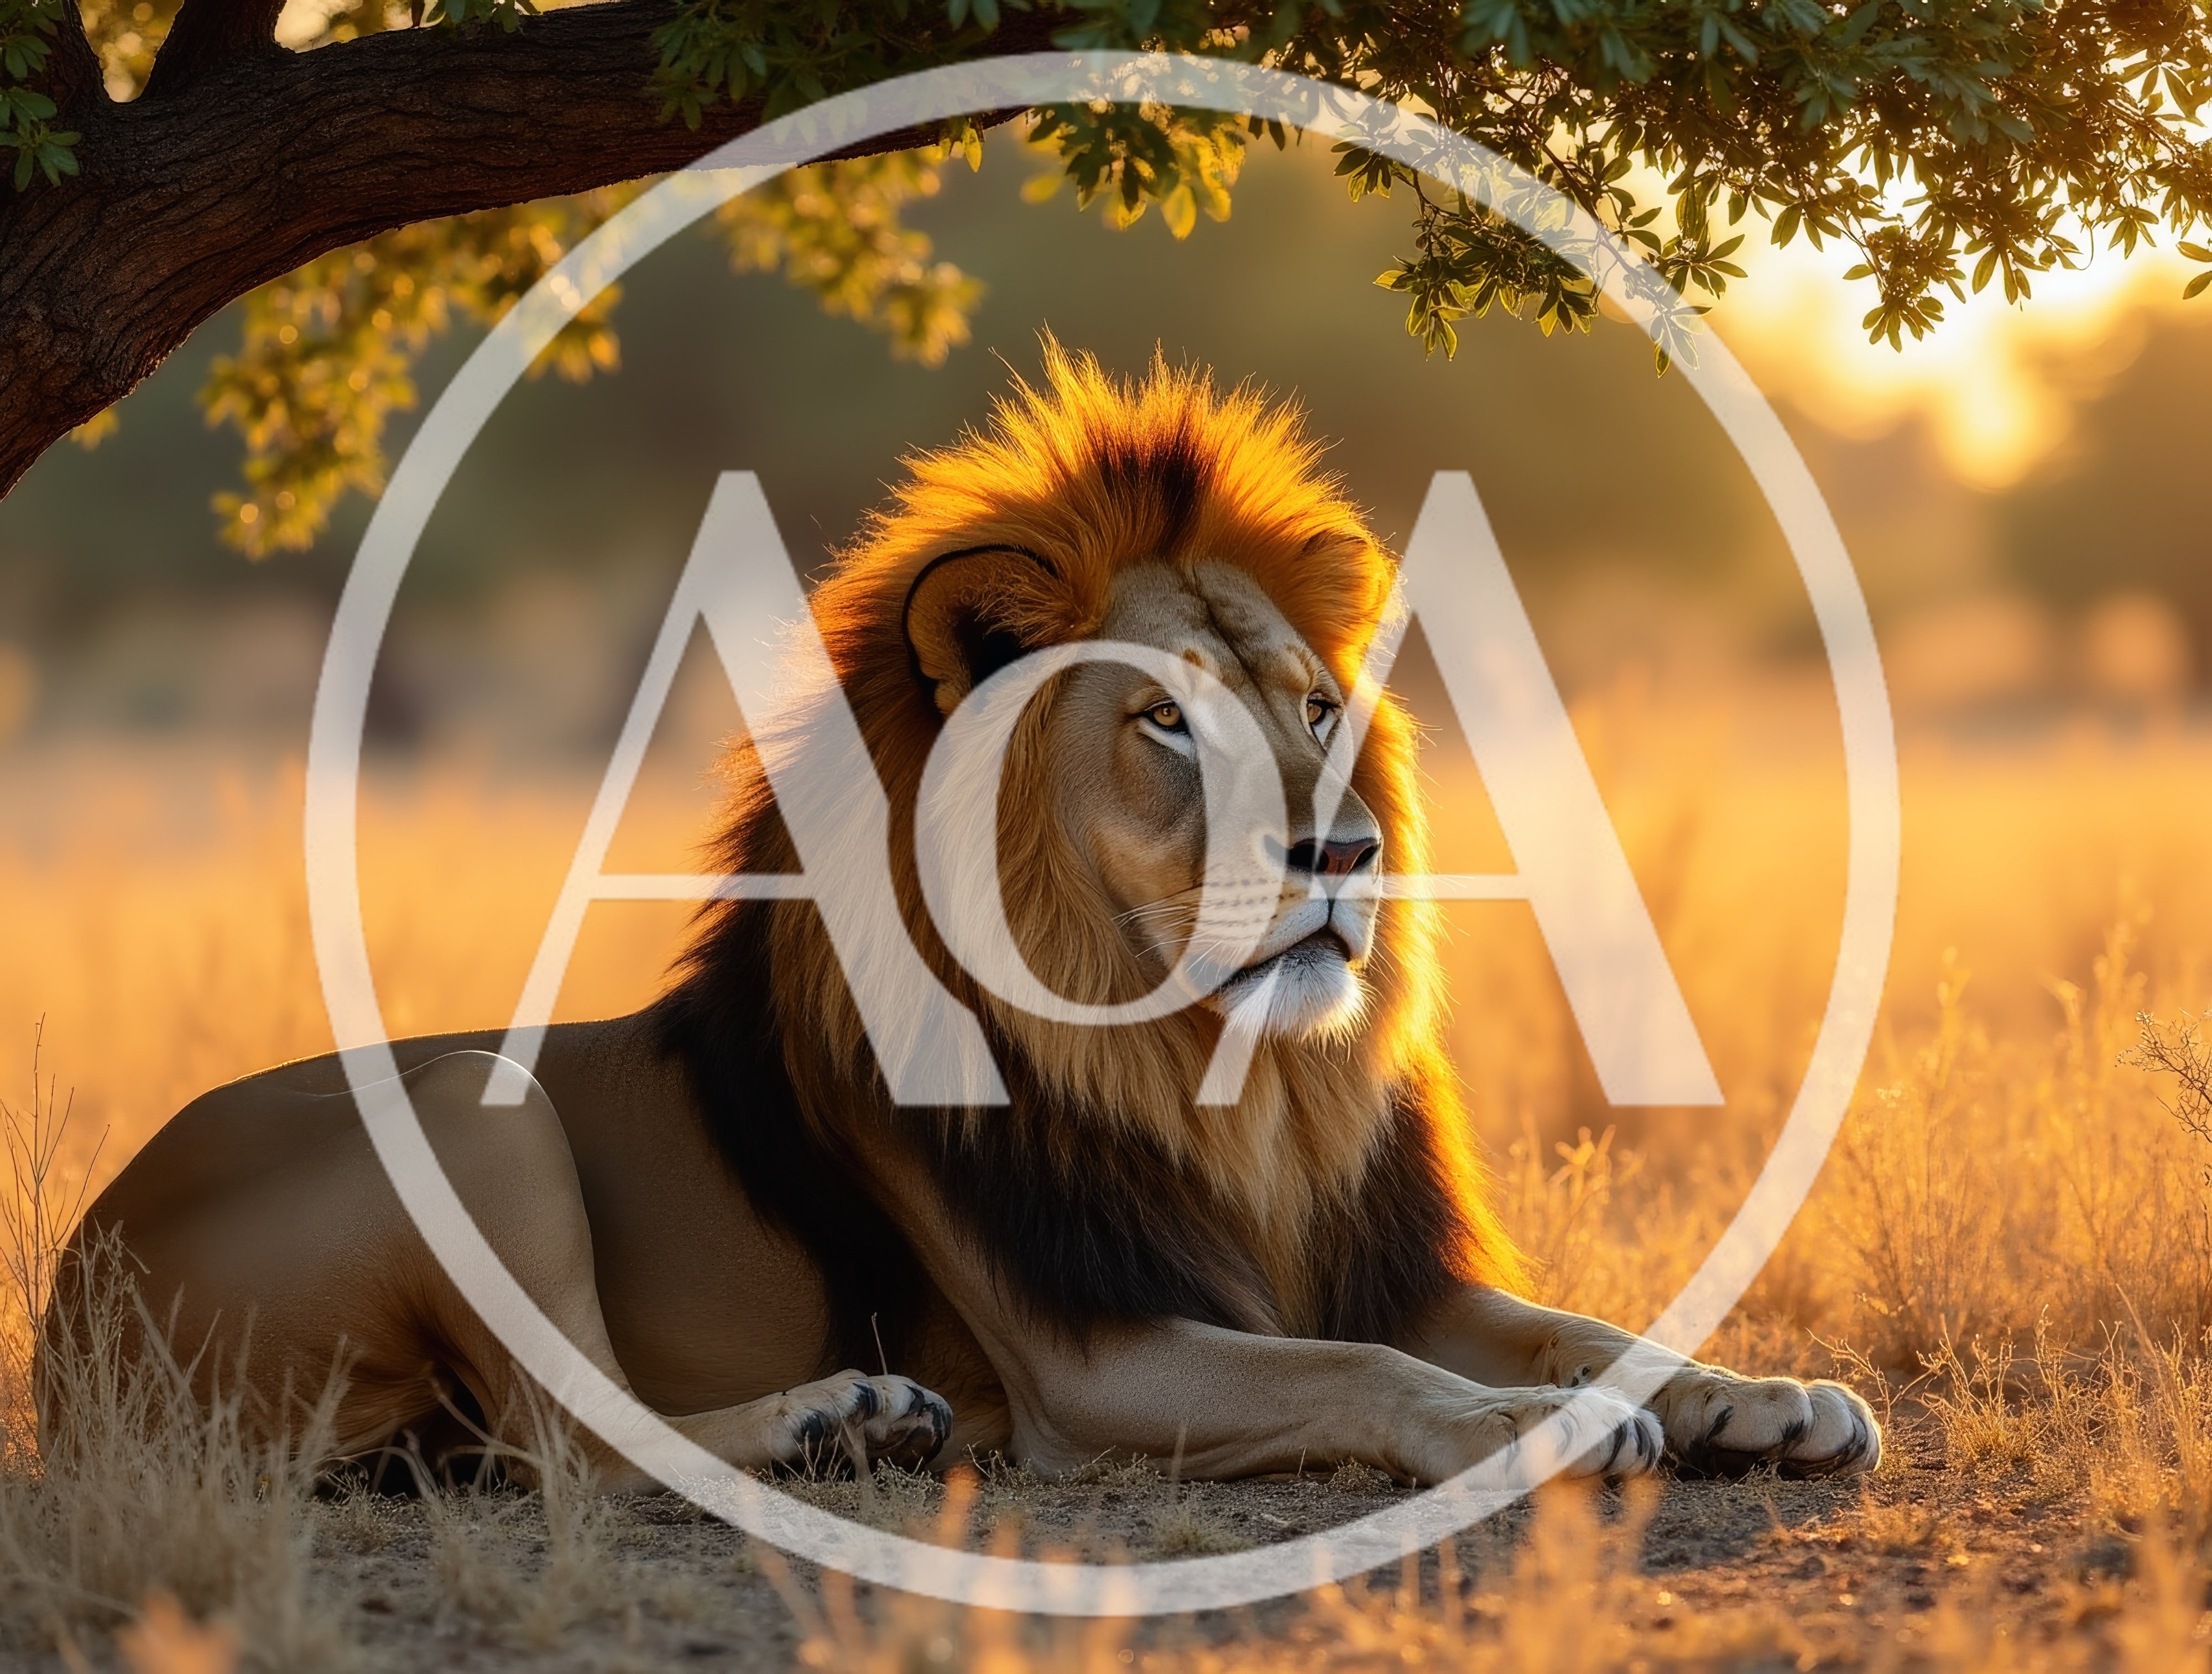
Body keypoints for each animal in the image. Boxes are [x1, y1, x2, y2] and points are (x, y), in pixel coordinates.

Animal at [62, 343, 1878, 1495]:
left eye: (1314, 706)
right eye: (1163, 721)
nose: (1351, 851)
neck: (1221, 1083)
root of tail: (64, 1307)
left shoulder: (1362, 1263)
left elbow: (1587, 1326)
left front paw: (1758, 1399)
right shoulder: (1093, 1358)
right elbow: (1365, 1377)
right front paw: (1529, 1432)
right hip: (470, 1104)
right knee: (570, 1441)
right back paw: (841, 1421)